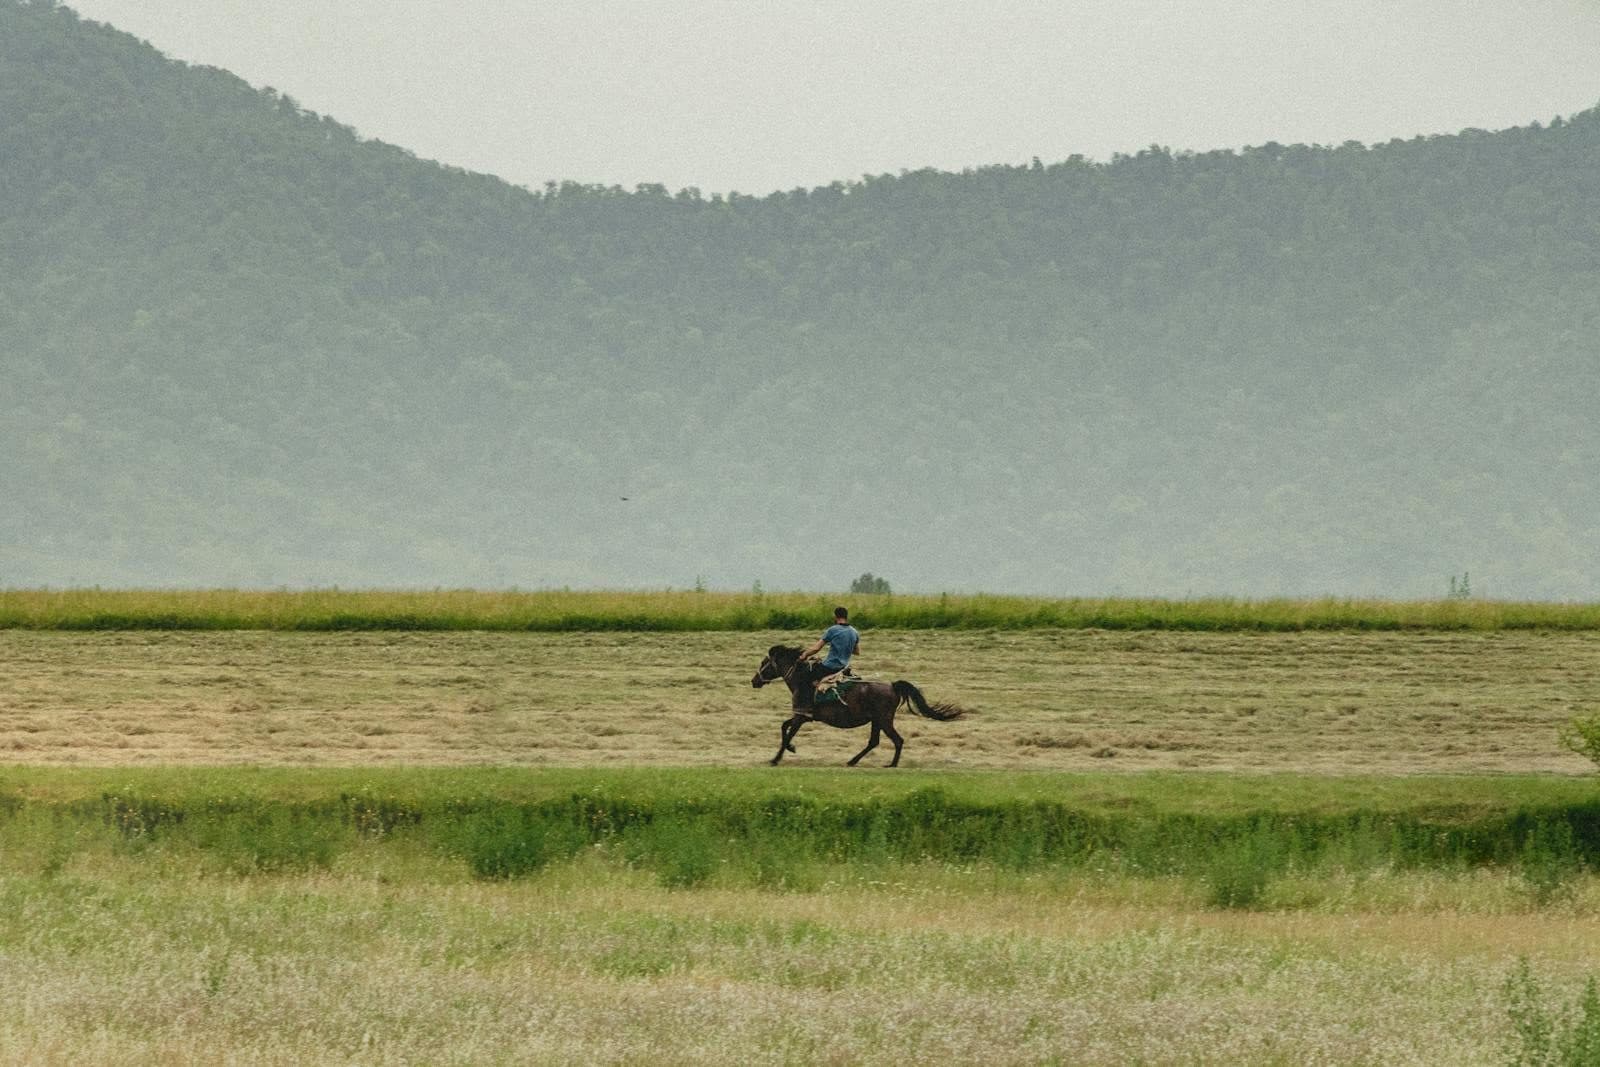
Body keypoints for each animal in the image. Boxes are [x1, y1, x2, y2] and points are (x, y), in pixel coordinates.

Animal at [750, 645, 970, 767]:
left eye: (764, 663)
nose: (754, 681)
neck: (801, 679)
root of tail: (892, 685)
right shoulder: (802, 716)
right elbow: (784, 727)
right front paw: (788, 750)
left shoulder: (801, 715)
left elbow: (787, 731)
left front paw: (778, 756)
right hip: (876, 721)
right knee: (874, 742)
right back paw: (853, 761)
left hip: (884, 720)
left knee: (897, 740)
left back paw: (891, 764)